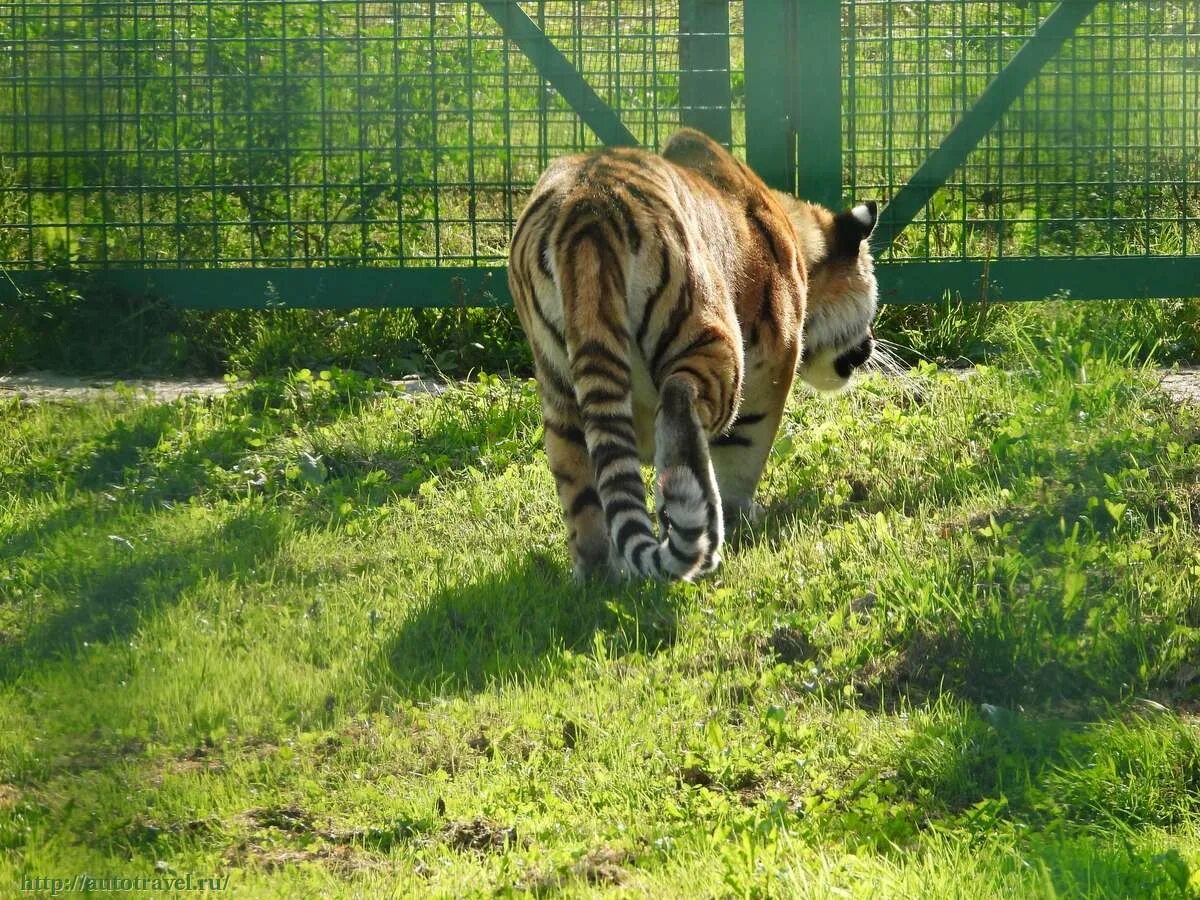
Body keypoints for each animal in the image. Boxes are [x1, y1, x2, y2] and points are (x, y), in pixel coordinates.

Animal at [508, 128, 883, 585]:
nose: (870, 345)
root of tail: (589, 207)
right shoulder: (769, 373)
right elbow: (742, 454)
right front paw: (743, 516)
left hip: (559, 385)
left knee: (580, 482)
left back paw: (598, 573)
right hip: (712, 339)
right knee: (680, 408)